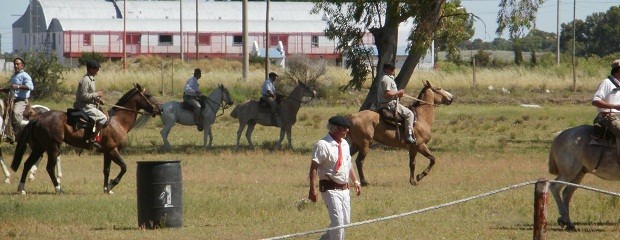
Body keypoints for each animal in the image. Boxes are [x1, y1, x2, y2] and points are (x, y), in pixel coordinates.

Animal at [10, 83, 161, 194]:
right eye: (148, 95)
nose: (160, 109)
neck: (118, 121)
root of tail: (37, 118)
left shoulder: (107, 152)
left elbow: (106, 170)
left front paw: (106, 189)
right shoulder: (113, 150)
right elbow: (124, 167)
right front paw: (111, 185)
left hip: (40, 147)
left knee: (27, 164)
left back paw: (21, 188)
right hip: (53, 147)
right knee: (49, 168)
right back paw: (59, 189)